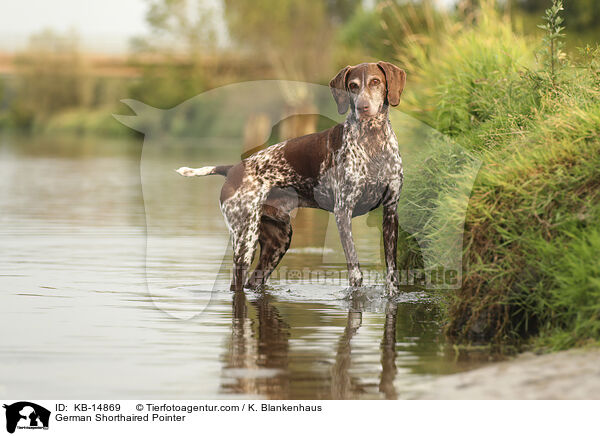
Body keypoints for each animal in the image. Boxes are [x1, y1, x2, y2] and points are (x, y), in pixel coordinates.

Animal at [176, 61, 406, 294]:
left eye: (375, 81)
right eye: (352, 85)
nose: (363, 107)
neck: (373, 142)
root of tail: (233, 169)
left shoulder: (390, 212)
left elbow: (392, 271)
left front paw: (392, 293)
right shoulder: (343, 213)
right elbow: (355, 271)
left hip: (278, 241)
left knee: (253, 281)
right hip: (245, 241)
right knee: (237, 284)